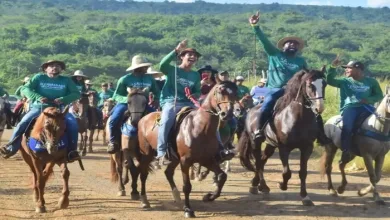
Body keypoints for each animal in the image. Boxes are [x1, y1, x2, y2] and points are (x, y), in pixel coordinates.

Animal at [134, 78, 238, 217]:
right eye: (220, 91)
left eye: (236, 92)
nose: (227, 114)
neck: (200, 127)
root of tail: (143, 118)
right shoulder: (185, 161)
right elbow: (187, 186)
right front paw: (188, 210)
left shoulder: (207, 159)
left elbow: (222, 176)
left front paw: (208, 197)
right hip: (147, 154)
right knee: (143, 174)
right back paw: (144, 200)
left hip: (174, 159)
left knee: (168, 173)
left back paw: (177, 197)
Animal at [238, 67, 326, 206]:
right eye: (309, 85)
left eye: (324, 84)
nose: (319, 108)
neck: (298, 117)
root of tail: (251, 111)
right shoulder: (284, 148)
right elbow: (287, 172)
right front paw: (282, 185)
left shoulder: (307, 148)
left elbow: (303, 172)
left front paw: (305, 197)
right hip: (255, 142)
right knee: (258, 162)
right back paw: (259, 186)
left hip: (270, 144)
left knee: (262, 160)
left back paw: (259, 185)